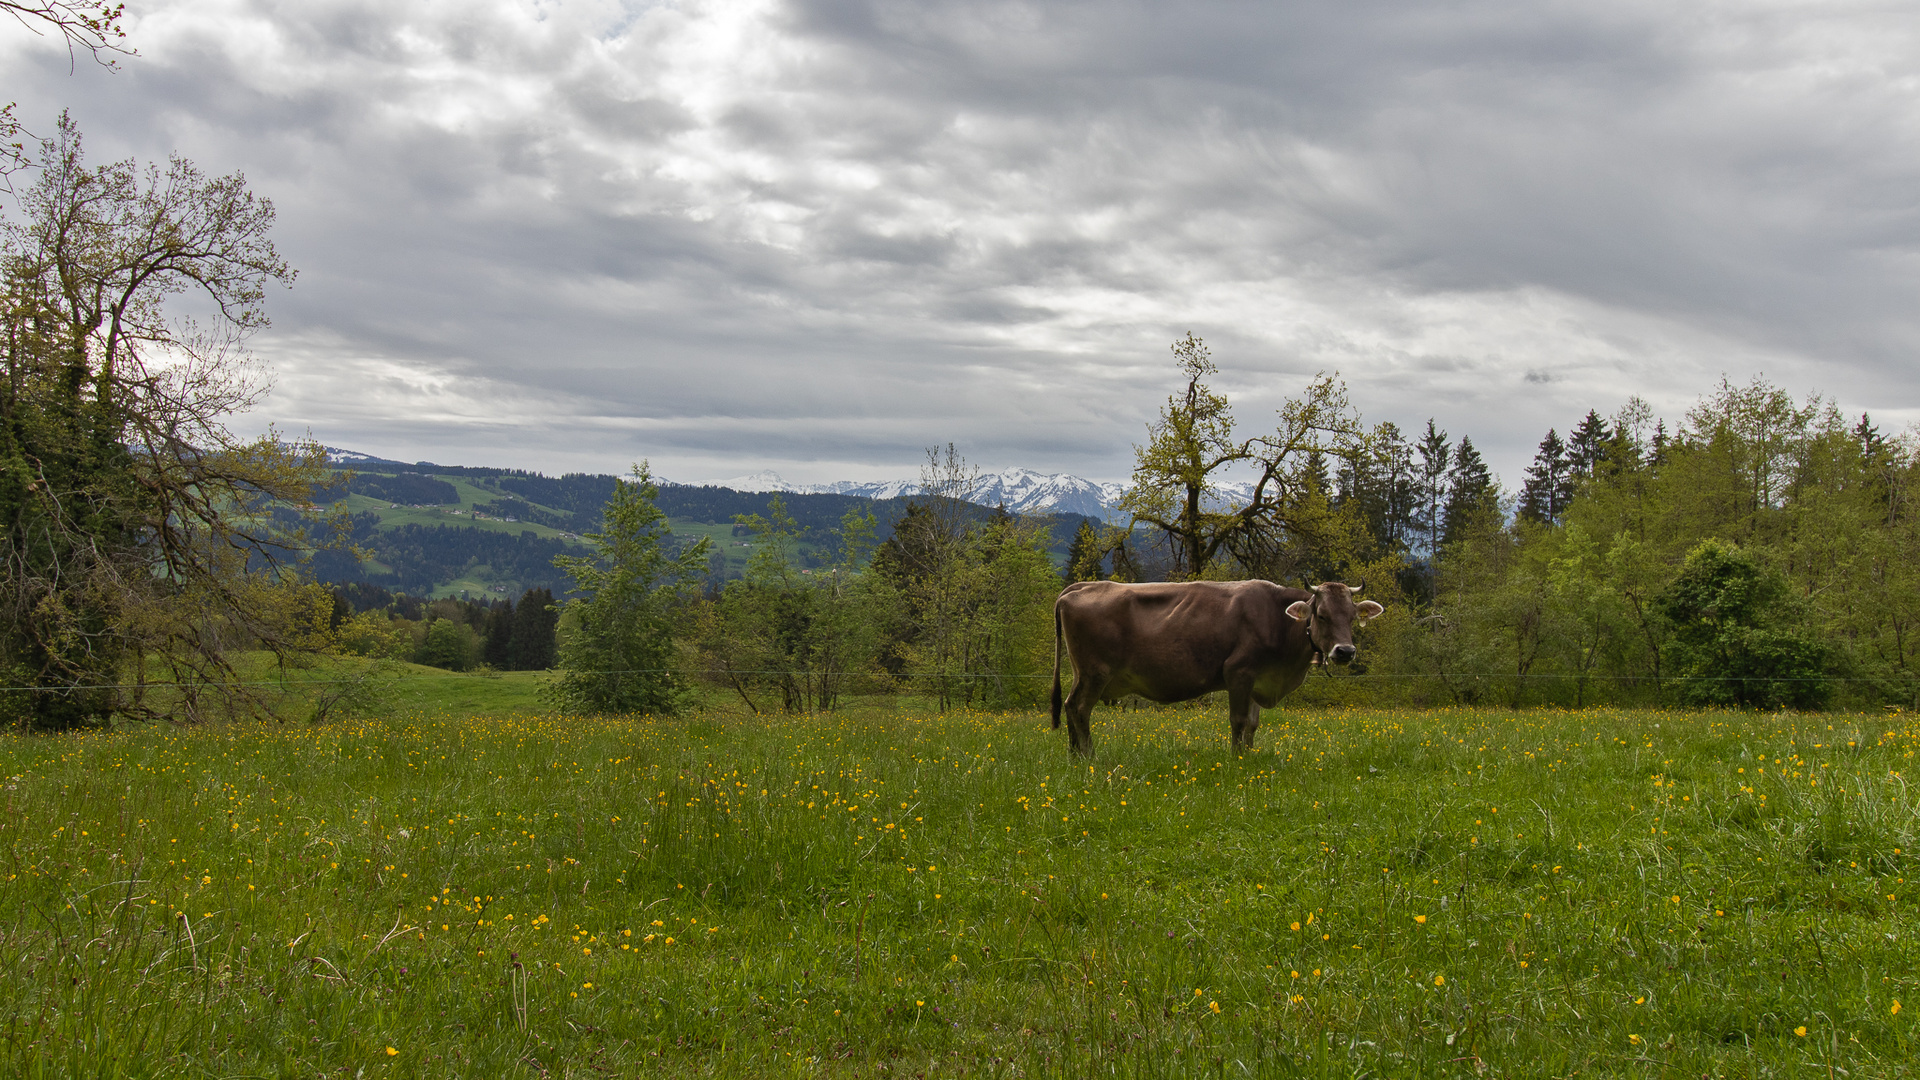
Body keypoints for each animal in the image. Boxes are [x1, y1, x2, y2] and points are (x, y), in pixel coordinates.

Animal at [1052, 576, 1382, 753]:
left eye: (1352, 617)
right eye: (1322, 615)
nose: (1345, 651)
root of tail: (1082, 587)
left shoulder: (1259, 679)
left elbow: (1253, 723)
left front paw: (1250, 755)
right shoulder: (1238, 672)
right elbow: (1238, 720)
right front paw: (1237, 759)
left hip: (1081, 673)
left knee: (1068, 705)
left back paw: (1074, 756)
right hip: (1096, 673)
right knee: (1080, 708)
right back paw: (1090, 757)